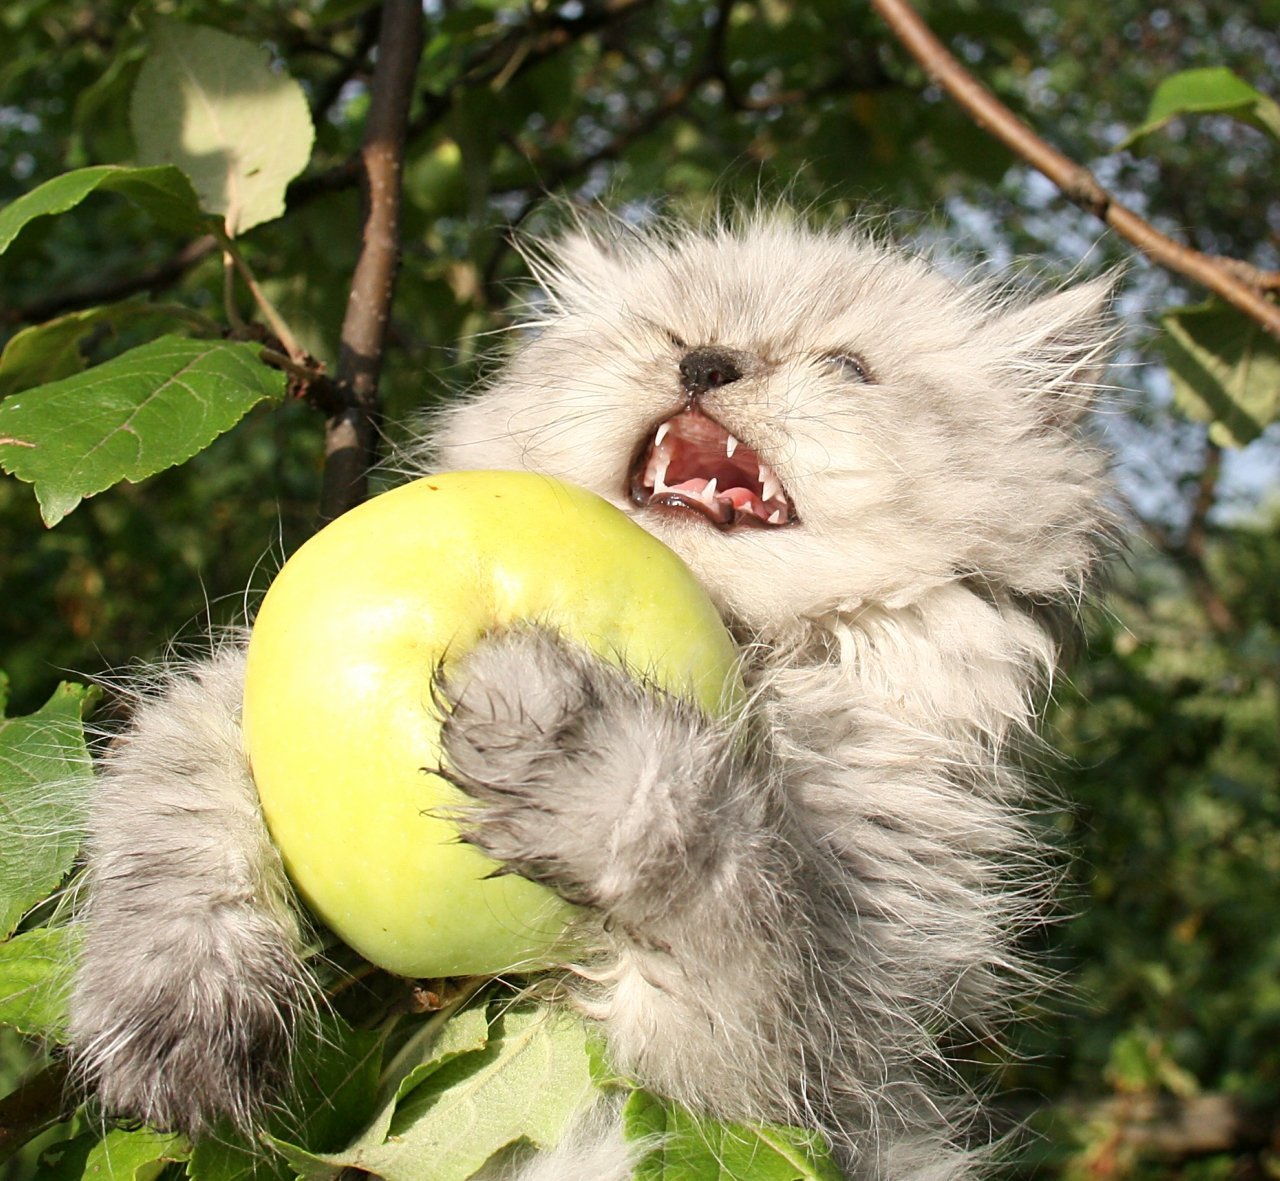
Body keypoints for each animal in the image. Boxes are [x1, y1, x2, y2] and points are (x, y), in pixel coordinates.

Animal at [64, 212, 1116, 1181]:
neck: (747, 656)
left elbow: (713, 850)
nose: (705, 363)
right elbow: (173, 826)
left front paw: (564, 737)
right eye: (668, 330)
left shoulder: (822, 1038)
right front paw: (177, 1014)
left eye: (849, 368)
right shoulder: (221, 698)